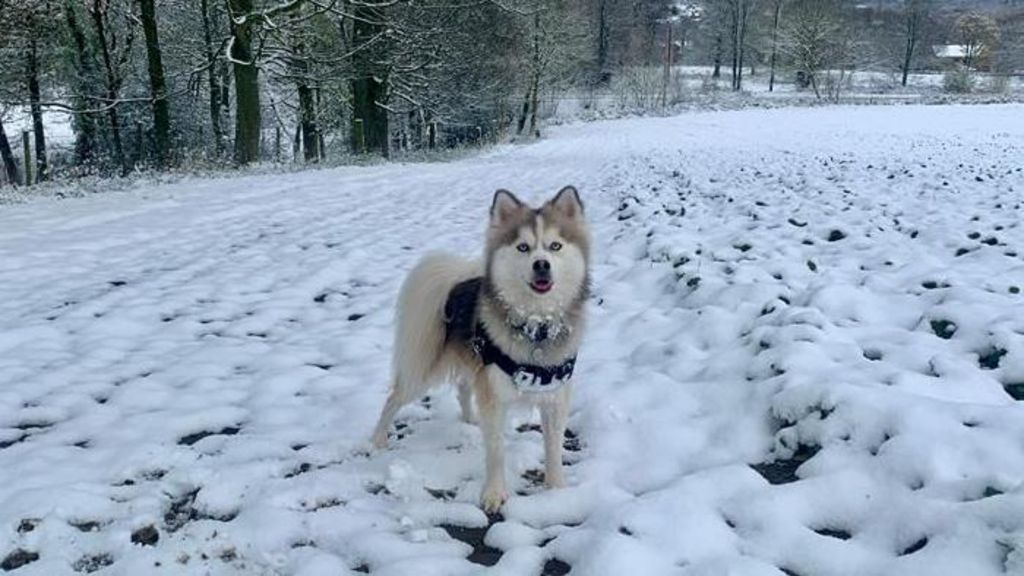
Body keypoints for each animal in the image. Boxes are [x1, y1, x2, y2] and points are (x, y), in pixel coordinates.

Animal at [372, 184, 589, 510]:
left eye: (555, 246)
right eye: (523, 248)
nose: (542, 265)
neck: (534, 325)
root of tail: (457, 283)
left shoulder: (556, 396)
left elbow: (553, 448)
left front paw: (557, 490)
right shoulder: (494, 395)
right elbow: (496, 449)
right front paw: (494, 494)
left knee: (463, 388)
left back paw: (469, 419)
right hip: (424, 371)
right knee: (394, 398)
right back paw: (376, 440)